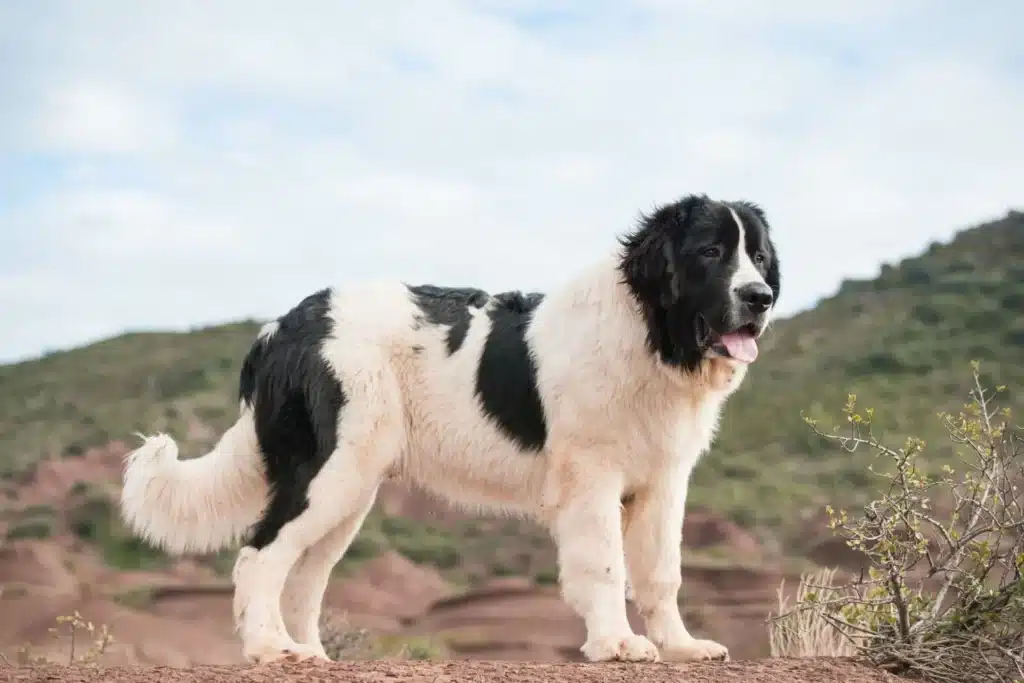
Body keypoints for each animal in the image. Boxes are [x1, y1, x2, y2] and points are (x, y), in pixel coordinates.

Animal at [121, 194, 774, 663]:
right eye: (711, 252)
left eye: (761, 258)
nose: (761, 297)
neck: (650, 332)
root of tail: (282, 325)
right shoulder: (591, 478)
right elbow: (606, 567)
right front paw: (616, 644)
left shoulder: (663, 483)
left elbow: (662, 573)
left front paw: (682, 647)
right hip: (327, 471)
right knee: (260, 555)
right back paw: (270, 650)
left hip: (350, 489)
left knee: (304, 575)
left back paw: (312, 653)